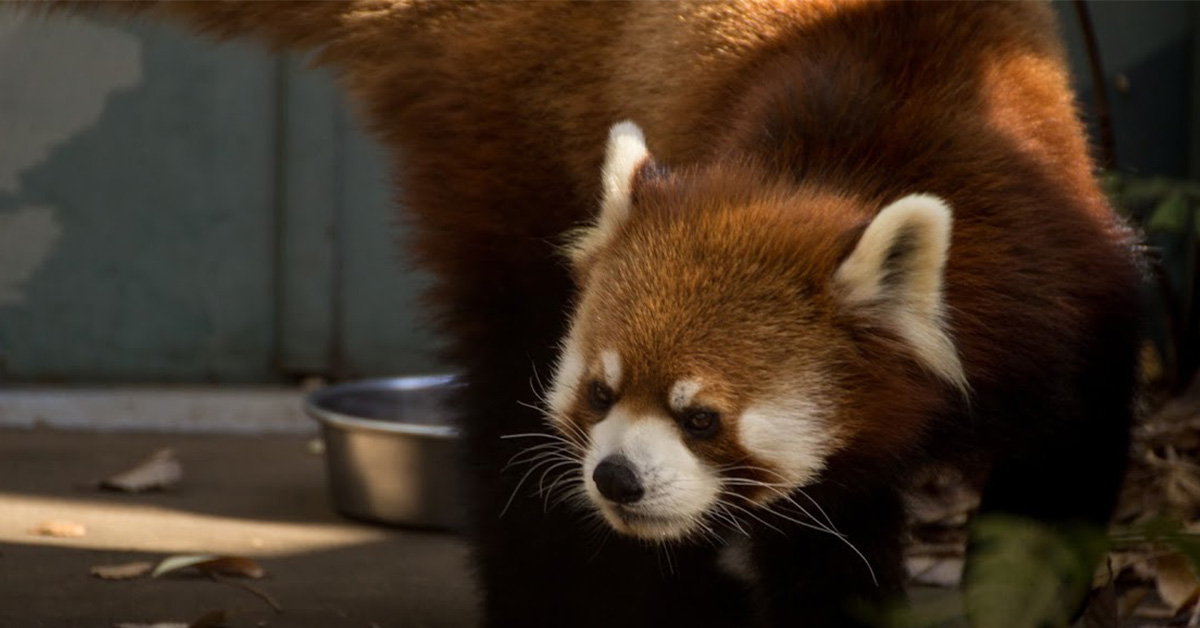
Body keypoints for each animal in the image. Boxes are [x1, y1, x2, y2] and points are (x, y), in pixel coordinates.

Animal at [23, 1, 1137, 628]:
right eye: (600, 396)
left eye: (701, 416)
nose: (616, 477)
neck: (849, 153)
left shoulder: (1065, 302)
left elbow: (1053, 499)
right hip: (513, 152)